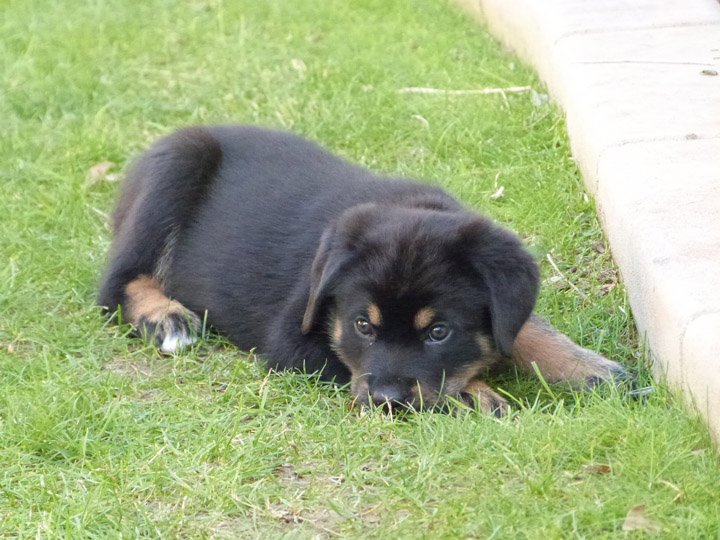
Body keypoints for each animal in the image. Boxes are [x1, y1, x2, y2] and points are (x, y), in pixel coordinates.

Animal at [98, 125, 628, 414]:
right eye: (362, 326)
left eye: (439, 332)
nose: (386, 401)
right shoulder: (292, 341)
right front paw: (475, 395)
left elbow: (524, 327)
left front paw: (591, 370)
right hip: (176, 168)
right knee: (115, 285)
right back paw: (165, 317)